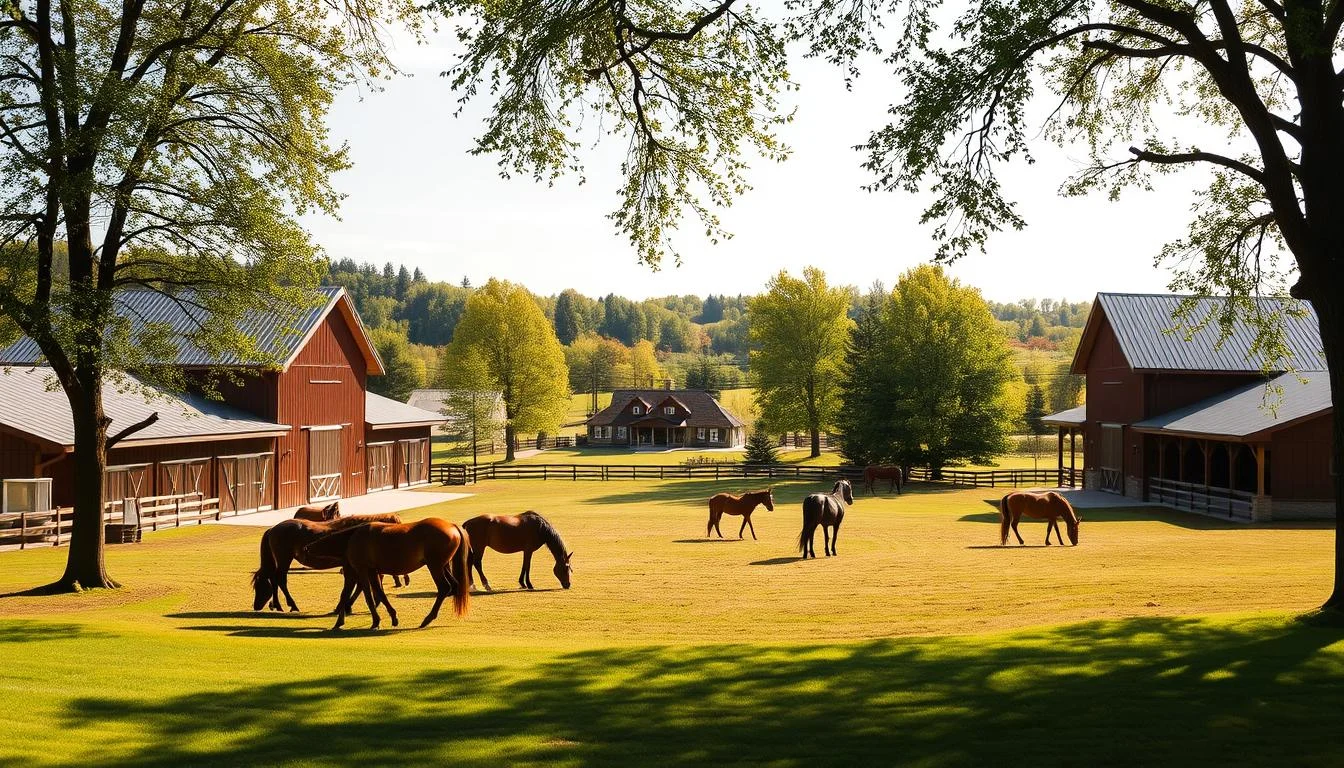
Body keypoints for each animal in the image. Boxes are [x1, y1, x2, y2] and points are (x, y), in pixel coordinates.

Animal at [250, 512, 404, 613]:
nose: (256, 606)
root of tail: (272, 529)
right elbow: (356, 585)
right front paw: (344, 606)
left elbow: (358, 585)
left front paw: (346, 606)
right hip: (284, 559)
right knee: (279, 579)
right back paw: (290, 605)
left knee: (274, 578)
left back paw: (277, 605)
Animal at [302, 518, 471, 630]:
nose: (306, 548)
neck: (351, 539)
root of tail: (452, 526)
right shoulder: (372, 572)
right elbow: (377, 594)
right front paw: (391, 616)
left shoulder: (362, 571)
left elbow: (369, 597)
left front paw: (376, 621)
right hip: (443, 566)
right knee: (453, 586)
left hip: (435, 566)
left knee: (444, 588)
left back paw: (427, 619)